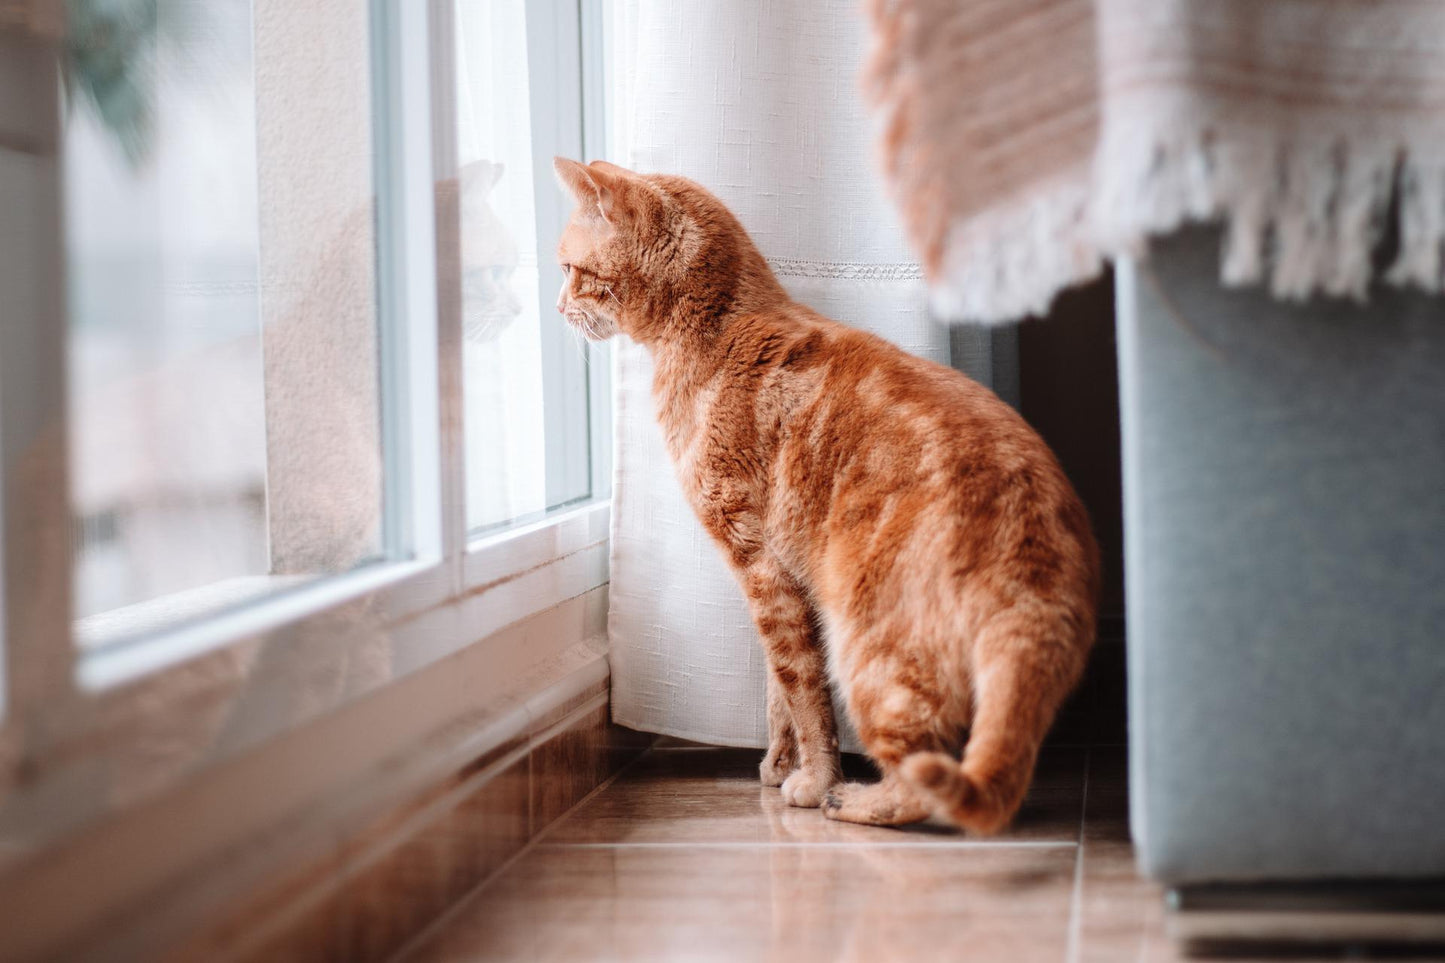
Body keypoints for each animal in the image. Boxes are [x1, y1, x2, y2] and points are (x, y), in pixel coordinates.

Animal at [551, 159, 1092, 832]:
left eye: (569, 270)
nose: (557, 306)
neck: (718, 329)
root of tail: (1036, 547)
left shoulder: (760, 565)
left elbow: (801, 688)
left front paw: (813, 780)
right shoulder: (778, 579)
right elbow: (777, 692)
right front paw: (781, 764)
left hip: (866, 646)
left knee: (929, 777)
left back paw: (851, 800)